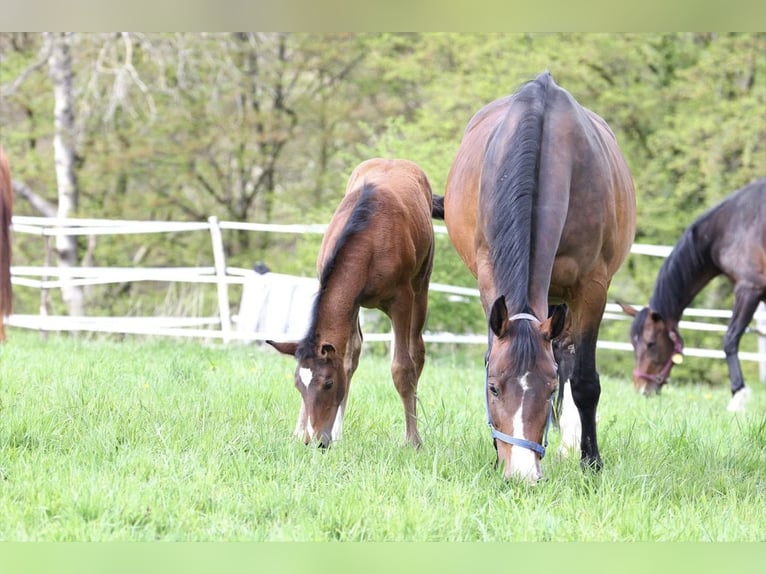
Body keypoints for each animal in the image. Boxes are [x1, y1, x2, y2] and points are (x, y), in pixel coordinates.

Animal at [268, 158, 438, 450]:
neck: (367, 241)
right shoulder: (349, 301)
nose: (316, 441)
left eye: (328, 383)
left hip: (421, 285)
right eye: (298, 385)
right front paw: (301, 431)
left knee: (417, 350)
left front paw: (413, 441)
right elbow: (346, 358)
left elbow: (402, 367)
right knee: (353, 353)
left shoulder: (401, 299)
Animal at [444, 73, 636, 486]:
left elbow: (584, 381)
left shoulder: (592, 287)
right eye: (493, 387)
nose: (521, 473)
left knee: (569, 357)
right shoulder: (489, 275)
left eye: (547, 390)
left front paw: (591, 462)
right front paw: (495, 455)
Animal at [620, 178, 766, 412]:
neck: (732, 227)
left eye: (650, 344)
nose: (641, 389)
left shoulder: (748, 289)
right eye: (633, 344)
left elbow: (730, 339)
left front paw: (737, 395)